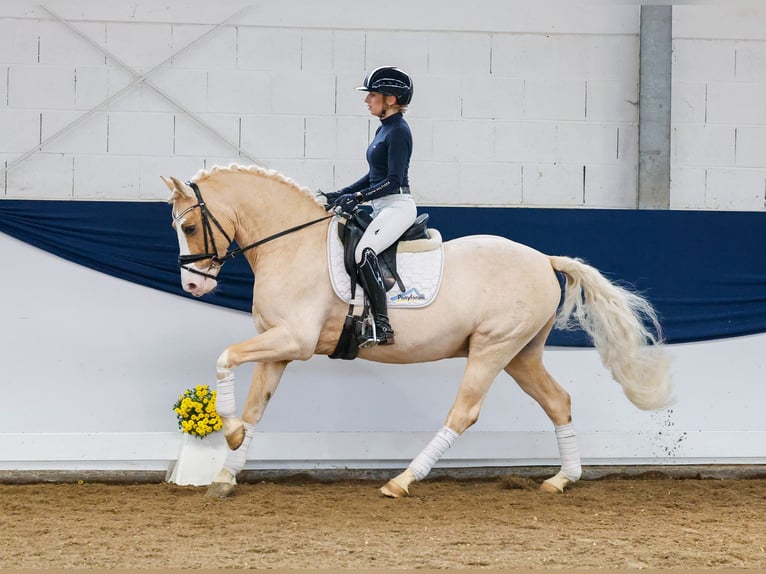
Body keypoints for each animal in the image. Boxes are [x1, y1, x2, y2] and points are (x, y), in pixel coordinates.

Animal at [162, 164, 672, 498]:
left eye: (190, 227)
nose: (193, 286)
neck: (290, 244)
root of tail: (543, 259)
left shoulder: (295, 341)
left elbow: (225, 357)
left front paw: (227, 435)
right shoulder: (278, 347)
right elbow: (255, 409)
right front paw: (227, 469)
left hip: (492, 349)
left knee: (464, 412)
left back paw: (402, 481)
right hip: (521, 354)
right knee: (558, 401)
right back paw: (562, 479)